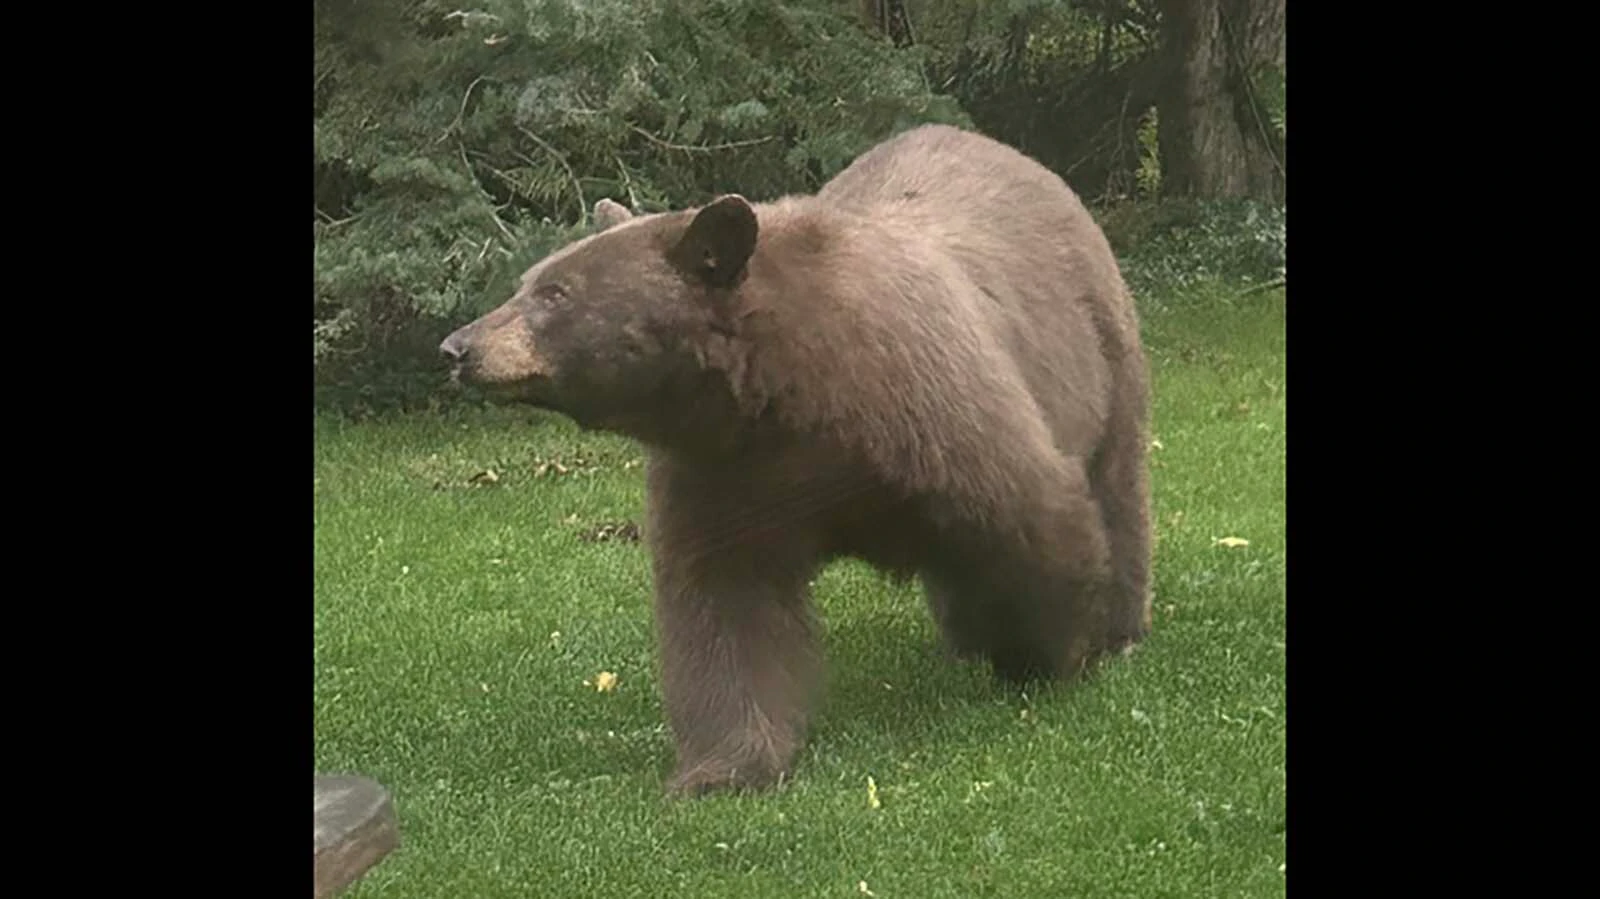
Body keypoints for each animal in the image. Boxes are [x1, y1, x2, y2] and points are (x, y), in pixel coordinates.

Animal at [439, 124, 1152, 797]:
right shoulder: (725, 470)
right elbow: (723, 602)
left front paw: (1054, 653)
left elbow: (1029, 511)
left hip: (1100, 348)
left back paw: (1118, 626)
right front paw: (723, 769)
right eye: (528, 282)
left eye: (556, 293)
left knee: (1114, 486)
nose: (457, 347)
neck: (787, 388)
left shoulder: (926, 401)